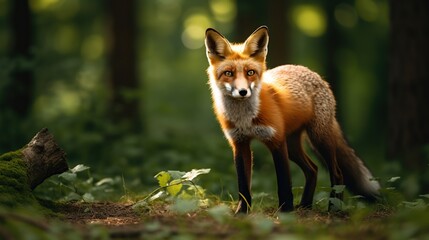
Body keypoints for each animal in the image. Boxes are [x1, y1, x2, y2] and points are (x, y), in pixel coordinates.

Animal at [206, 25, 380, 213]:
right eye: (228, 73)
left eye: (250, 72)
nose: (243, 92)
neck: (245, 118)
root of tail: (313, 73)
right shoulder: (239, 143)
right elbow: (243, 186)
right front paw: (241, 212)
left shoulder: (276, 140)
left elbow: (284, 182)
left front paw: (286, 211)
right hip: (293, 145)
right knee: (313, 169)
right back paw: (305, 205)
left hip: (318, 139)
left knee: (337, 173)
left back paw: (333, 209)